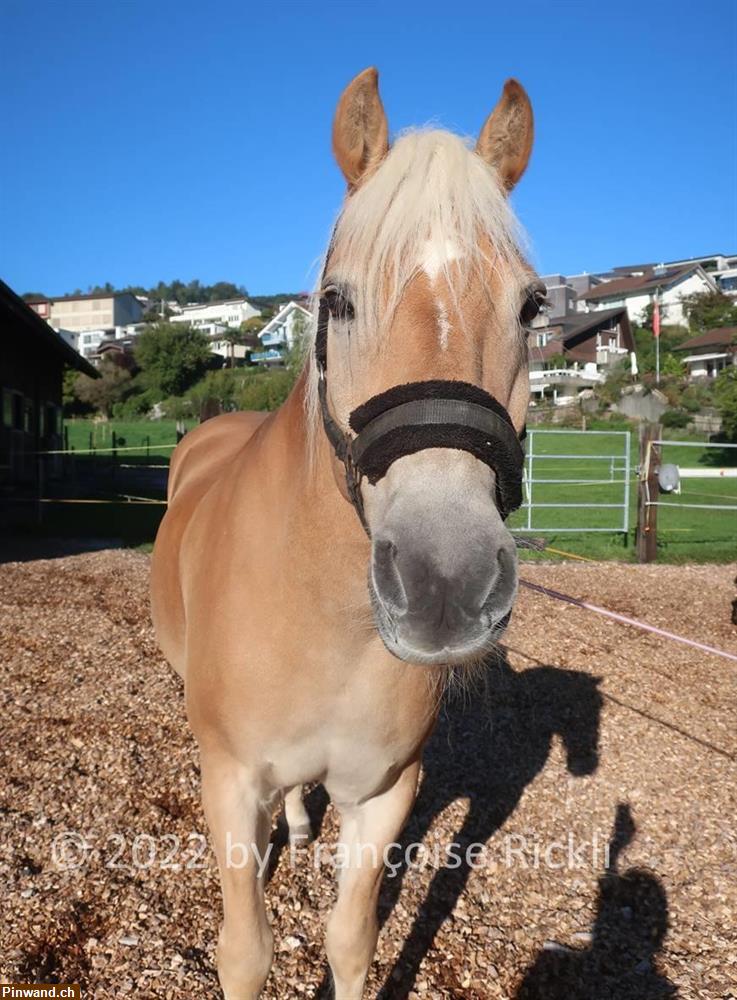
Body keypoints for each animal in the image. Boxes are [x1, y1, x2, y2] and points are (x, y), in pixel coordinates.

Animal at [150, 66, 544, 996]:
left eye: (531, 305)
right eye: (337, 301)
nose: (445, 583)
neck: (320, 620)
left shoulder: (386, 792)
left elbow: (350, 938)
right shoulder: (229, 782)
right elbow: (245, 950)